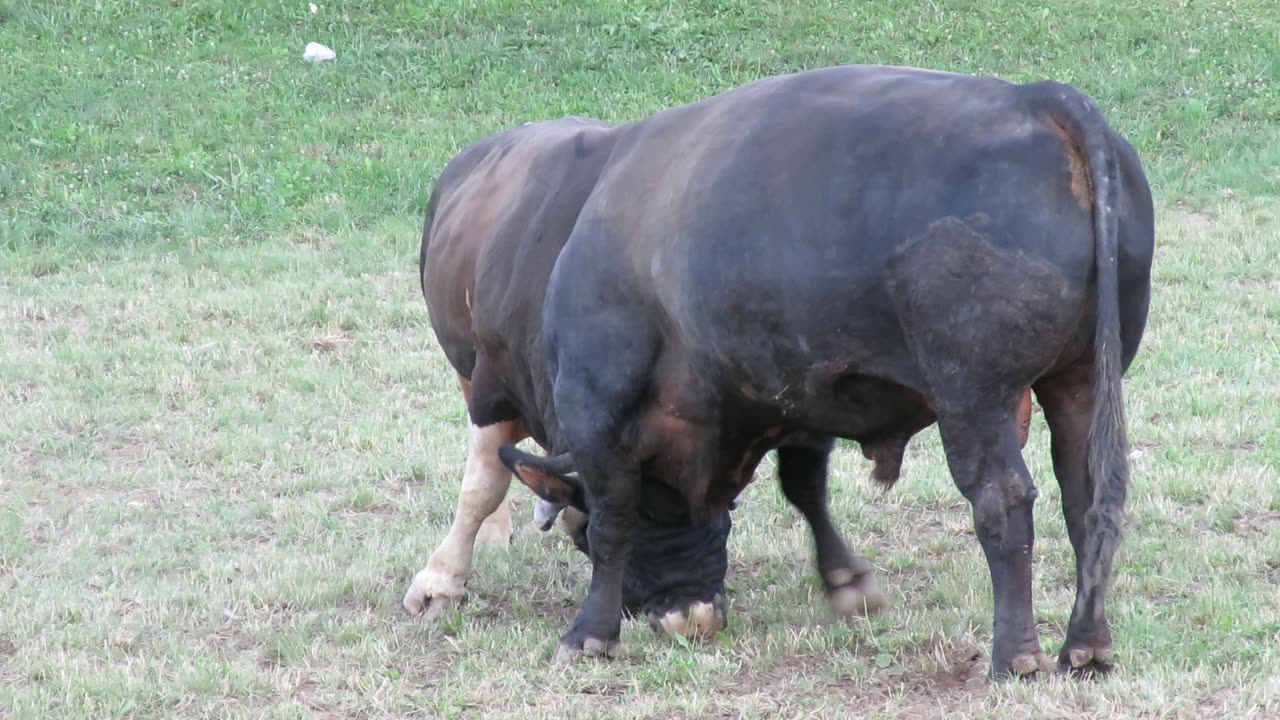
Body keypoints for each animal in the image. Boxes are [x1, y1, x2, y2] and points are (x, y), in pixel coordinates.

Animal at [437, 64, 1152, 676]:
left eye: (577, 534)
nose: (689, 613)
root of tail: (1039, 99)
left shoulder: (598, 411)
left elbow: (616, 516)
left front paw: (590, 633)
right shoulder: (796, 399)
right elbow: (805, 488)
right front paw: (847, 581)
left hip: (977, 398)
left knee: (1004, 500)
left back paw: (1016, 656)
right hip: (1079, 381)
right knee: (1086, 495)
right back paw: (1086, 648)